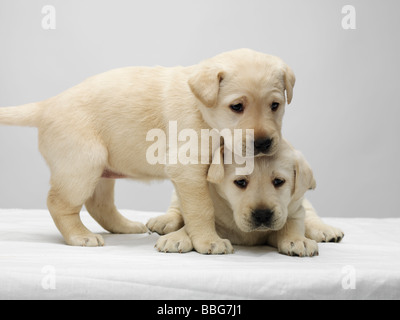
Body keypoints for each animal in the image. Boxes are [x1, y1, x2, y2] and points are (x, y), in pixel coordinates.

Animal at [0, 48, 294, 252]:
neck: (202, 110)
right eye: (237, 107)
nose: (263, 143)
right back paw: (80, 235)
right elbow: (202, 209)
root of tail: (46, 105)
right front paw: (209, 241)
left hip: (102, 168)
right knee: (59, 203)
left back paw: (125, 226)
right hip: (83, 164)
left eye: (275, 105)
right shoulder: (188, 168)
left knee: (99, 204)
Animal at [148, 141, 344, 256]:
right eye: (240, 182)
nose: (263, 215)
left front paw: (297, 240)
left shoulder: (294, 209)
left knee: (311, 216)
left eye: (279, 181)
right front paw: (178, 237)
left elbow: (292, 224)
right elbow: (197, 221)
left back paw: (326, 230)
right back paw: (164, 221)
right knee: (176, 208)